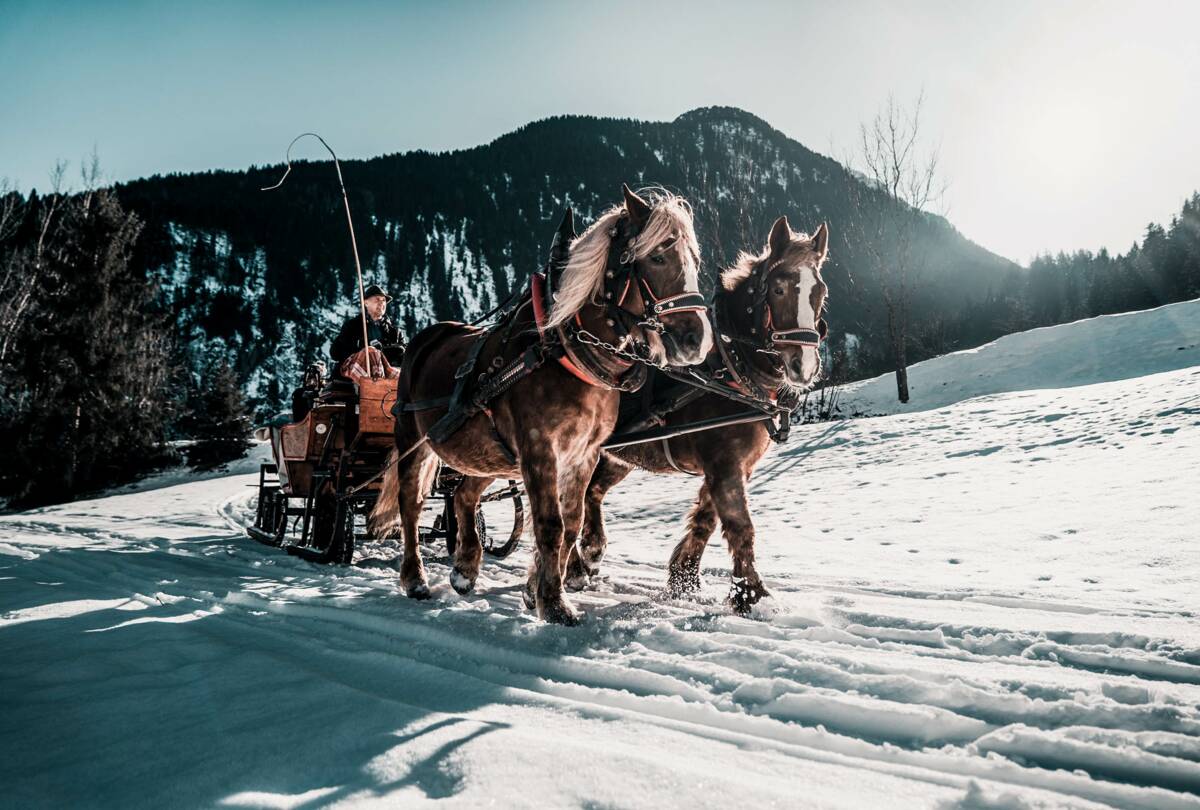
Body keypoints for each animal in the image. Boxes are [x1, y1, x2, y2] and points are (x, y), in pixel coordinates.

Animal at [559, 216, 825, 614]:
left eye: (819, 291)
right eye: (778, 289)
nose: (803, 366)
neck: (730, 368)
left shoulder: (735, 465)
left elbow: (706, 519)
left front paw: (684, 579)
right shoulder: (724, 462)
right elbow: (739, 525)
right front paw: (752, 595)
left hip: (615, 456)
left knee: (591, 493)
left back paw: (586, 556)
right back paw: (577, 563)